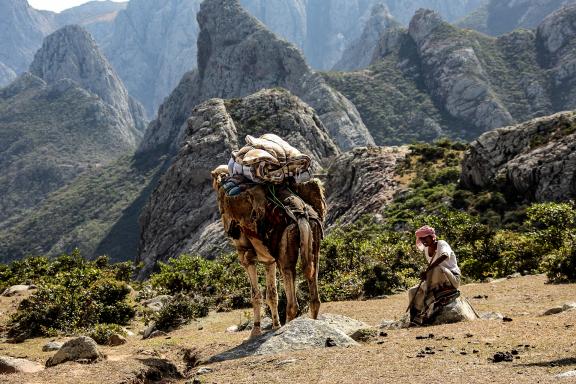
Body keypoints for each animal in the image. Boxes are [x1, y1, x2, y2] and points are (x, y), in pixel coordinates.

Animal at [212, 165, 326, 340]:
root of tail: (301, 216)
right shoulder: (268, 260)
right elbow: (272, 294)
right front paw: (275, 325)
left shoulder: (246, 257)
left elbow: (256, 295)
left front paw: (255, 331)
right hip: (315, 244)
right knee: (314, 294)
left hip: (284, 255)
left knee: (292, 303)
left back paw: (286, 329)